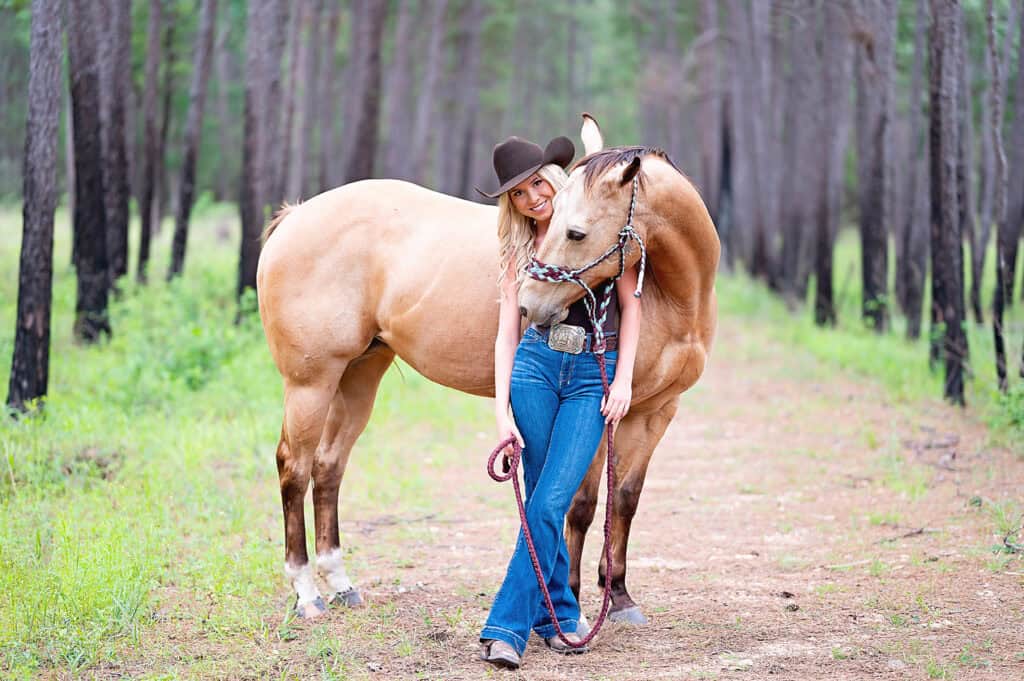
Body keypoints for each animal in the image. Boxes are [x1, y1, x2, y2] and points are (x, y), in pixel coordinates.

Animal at [256, 115, 720, 622]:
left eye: (575, 232)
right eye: (556, 222)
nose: (529, 304)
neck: (673, 295)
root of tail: (296, 216)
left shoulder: (653, 412)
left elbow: (625, 500)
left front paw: (618, 596)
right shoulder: (600, 410)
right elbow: (580, 504)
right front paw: (573, 602)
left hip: (359, 375)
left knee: (328, 466)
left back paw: (341, 583)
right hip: (311, 383)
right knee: (295, 469)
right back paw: (306, 592)